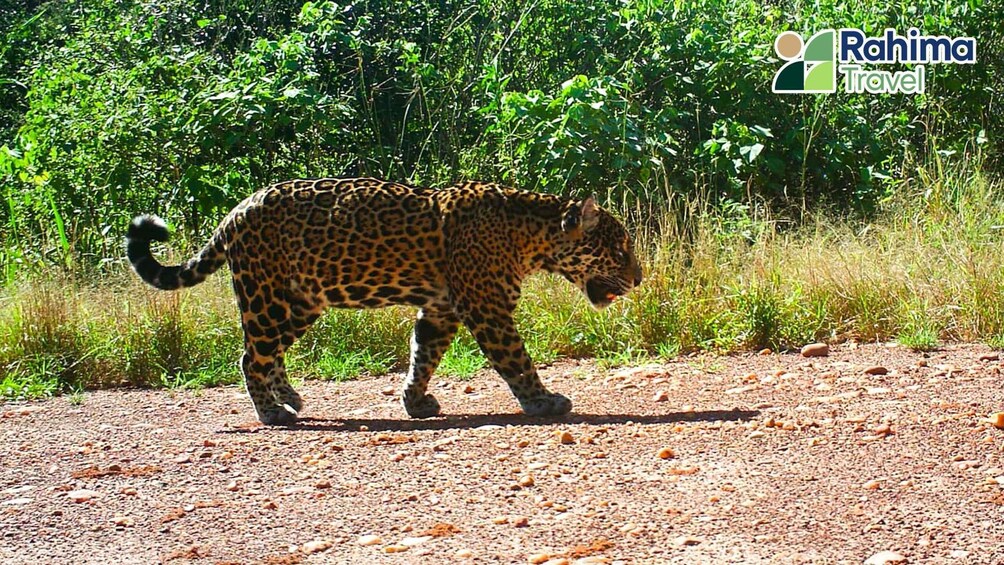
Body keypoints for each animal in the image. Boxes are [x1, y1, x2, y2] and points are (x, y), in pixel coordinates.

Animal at [127, 177, 643, 425]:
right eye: (619, 249)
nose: (638, 279)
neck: (532, 235)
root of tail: (235, 212)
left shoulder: (441, 310)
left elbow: (422, 356)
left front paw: (415, 401)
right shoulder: (488, 308)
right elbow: (517, 361)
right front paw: (543, 402)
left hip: (301, 301)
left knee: (267, 353)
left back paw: (289, 397)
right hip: (266, 296)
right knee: (251, 356)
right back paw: (272, 413)